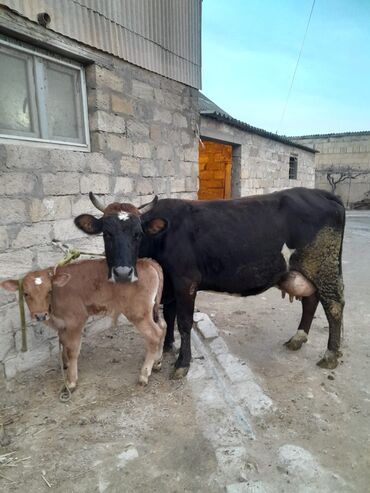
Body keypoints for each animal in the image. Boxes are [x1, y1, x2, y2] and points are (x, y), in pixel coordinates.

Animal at [1, 258, 166, 388]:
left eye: (49, 291)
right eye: (25, 293)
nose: (40, 315)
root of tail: (146, 261)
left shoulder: (76, 320)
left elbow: (72, 350)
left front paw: (71, 381)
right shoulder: (62, 325)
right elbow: (63, 343)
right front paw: (65, 365)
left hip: (138, 313)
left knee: (155, 335)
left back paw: (144, 374)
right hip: (150, 311)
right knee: (163, 326)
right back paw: (157, 362)